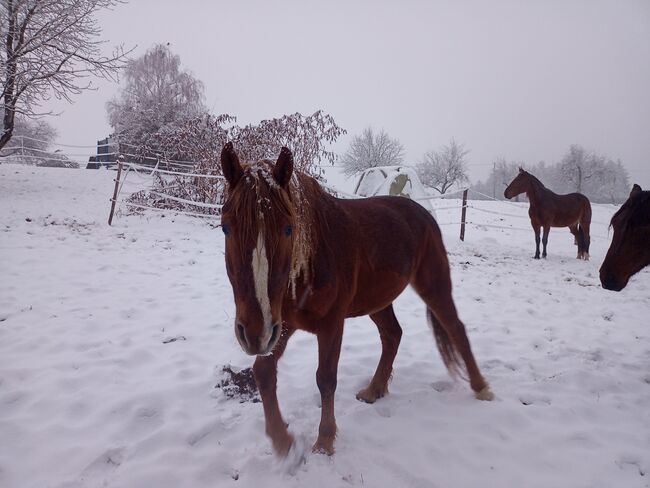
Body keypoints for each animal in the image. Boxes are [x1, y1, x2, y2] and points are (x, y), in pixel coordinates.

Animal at [219, 141, 492, 458]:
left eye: (288, 229)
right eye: (225, 227)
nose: (253, 333)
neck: (312, 258)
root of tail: (421, 213)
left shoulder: (329, 324)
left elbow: (326, 379)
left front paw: (324, 441)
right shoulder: (281, 324)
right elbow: (263, 371)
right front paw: (282, 441)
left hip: (433, 284)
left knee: (454, 327)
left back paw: (481, 387)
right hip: (377, 301)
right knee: (393, 334)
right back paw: (374, 390)